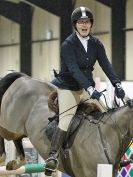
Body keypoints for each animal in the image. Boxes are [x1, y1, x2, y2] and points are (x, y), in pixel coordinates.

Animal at [0, 72, 133, 177]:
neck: (105, 138)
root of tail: (24, 78)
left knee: (18, 141)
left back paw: (15, 163)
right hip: (9, 126)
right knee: (6, 134)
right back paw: (3, 157)